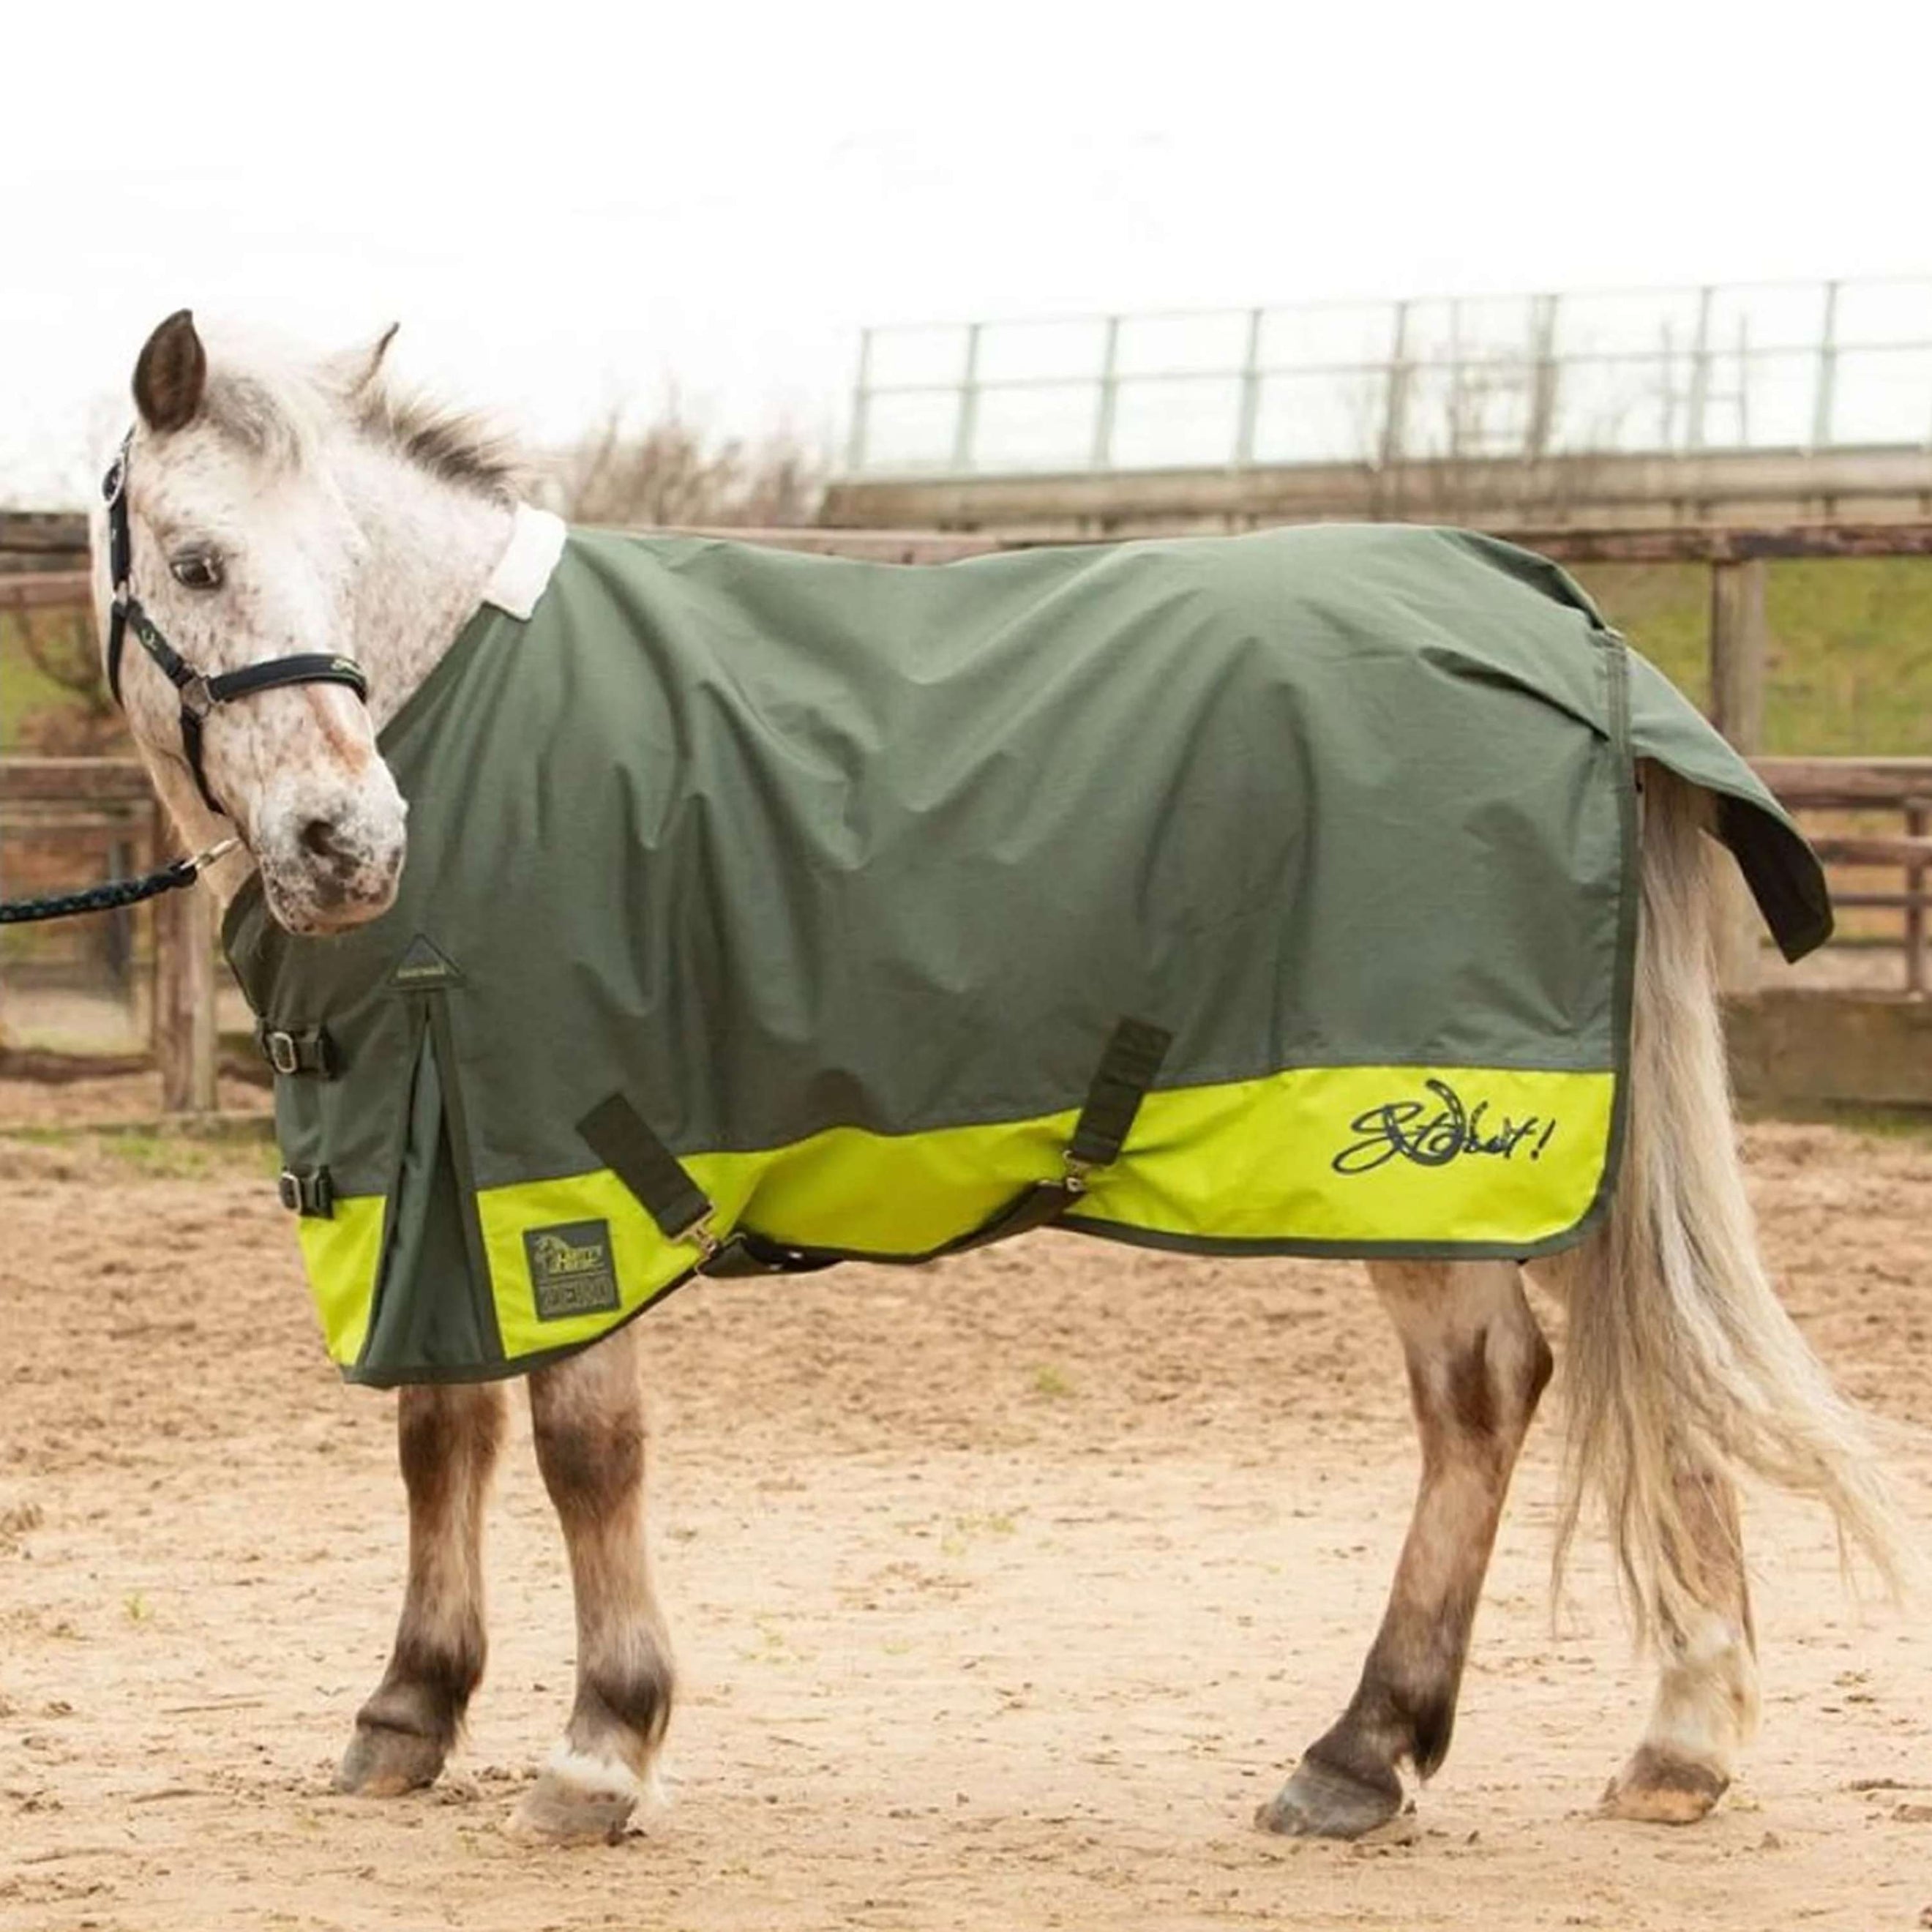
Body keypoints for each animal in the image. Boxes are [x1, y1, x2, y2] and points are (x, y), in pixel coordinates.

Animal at [90, 309, 1912, 1848]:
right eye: (199, 561)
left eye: (337, 563)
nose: (350, 845)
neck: (463, 701)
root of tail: (1560, 616)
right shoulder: (433, 1151)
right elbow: (443, 1424)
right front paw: (408, 1712)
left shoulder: (562, 1153)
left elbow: (582, 1444)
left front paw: (599, 1748)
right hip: (1562, 1148)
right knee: (1642, 1354)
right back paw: (1676, 1742)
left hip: (1432, 1154)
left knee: (1488, 1392)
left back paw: (1363, 1753)